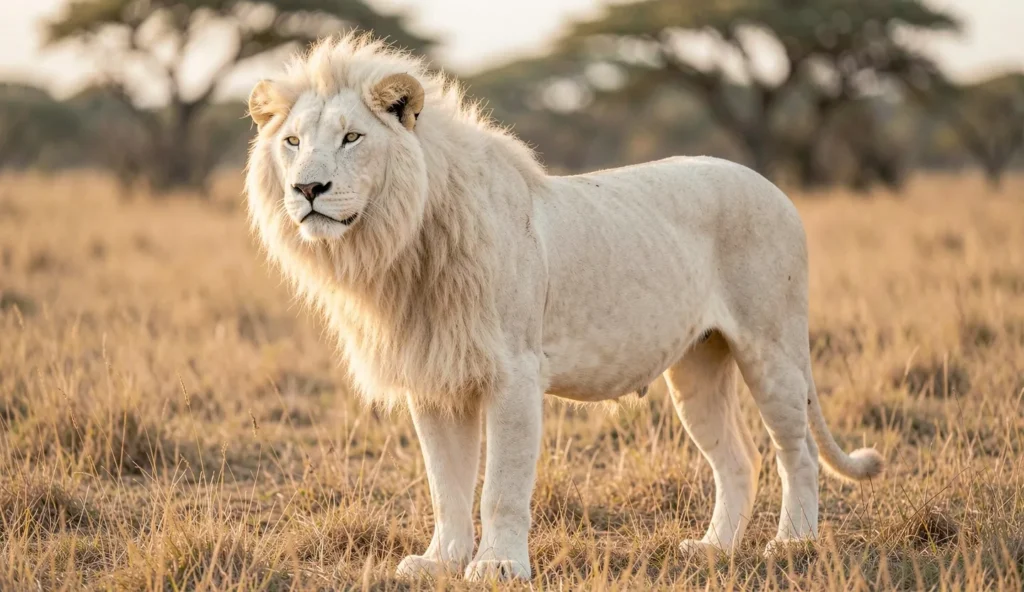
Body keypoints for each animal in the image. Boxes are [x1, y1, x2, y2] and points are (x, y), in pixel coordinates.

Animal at [244, 35, 883, 581]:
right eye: (293, 142)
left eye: (352, 138)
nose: (308, 190)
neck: (400, 245)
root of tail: (774, 188)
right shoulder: (436, 378)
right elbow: (445, 484)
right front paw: (441, 561)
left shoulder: (513, 372)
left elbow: (499, 485)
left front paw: (498, 566)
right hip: (698, 367)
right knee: (738, 460)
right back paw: (713, 549)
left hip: (770, 345)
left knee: (796, 452)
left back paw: (792, 543)